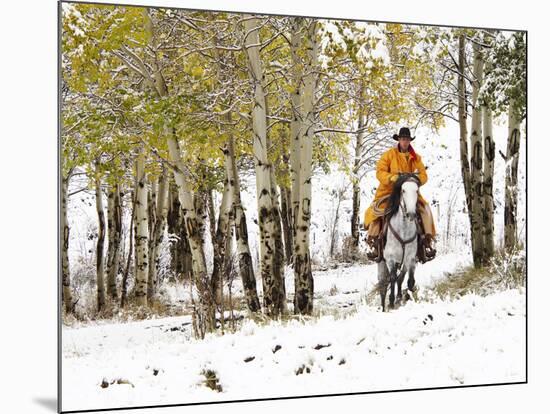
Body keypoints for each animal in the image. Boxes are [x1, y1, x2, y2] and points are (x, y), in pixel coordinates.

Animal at [380, 171, 422, 310]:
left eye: (417, 190)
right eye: (403, 190)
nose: (411, 214)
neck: (403, 230)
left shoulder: (410, 258)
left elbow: (407, 280)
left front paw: (404, 297)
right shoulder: (390, 259)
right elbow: (393, 278)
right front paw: (391, 301)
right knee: (383, 284)